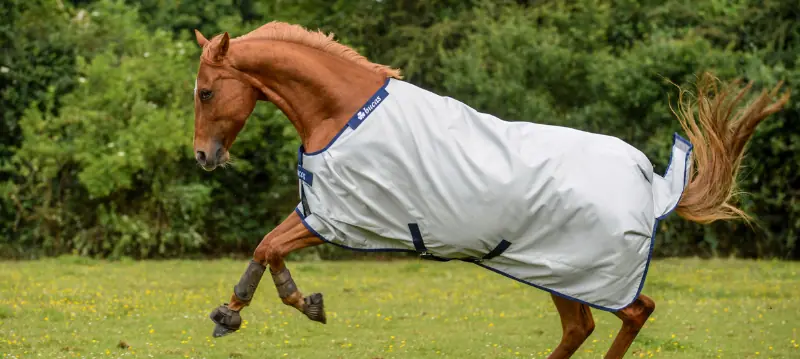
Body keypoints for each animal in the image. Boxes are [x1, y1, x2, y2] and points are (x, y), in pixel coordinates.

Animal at [192, 22, 788, 359]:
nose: (203, 157)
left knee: (632, 313)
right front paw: (248, 310)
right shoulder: (322, 212)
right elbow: (266, 248)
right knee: (586, 326)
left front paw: (255, 310)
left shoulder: (337, 218)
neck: (341, 113)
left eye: (204, 92)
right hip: (557, 272)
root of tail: (653, 185)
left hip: (579, 271)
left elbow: (269, 246)